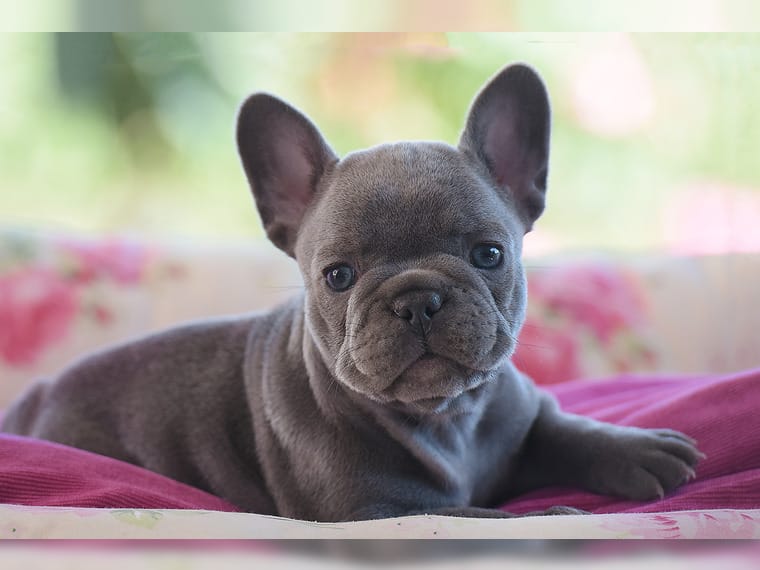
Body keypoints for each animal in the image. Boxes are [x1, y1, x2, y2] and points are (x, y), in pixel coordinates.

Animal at [2, 63, 702, 522]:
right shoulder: (382, 513)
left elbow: (562, 427)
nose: (417, 299)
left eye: (489, 254)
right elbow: (485, 516)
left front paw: (638, 448)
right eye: (338, 275)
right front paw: (554, 515)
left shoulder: (523, 415)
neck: (444, 418)